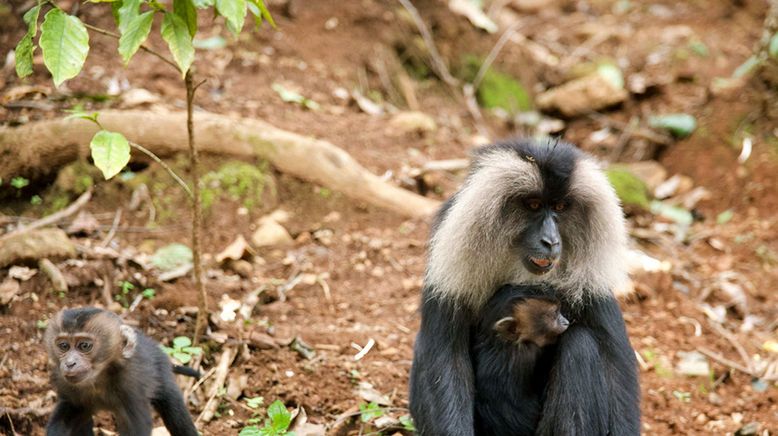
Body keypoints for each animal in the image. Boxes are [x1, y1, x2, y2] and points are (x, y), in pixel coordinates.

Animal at [44, 306, 200, 436]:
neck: (99, 377)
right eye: (64, 346)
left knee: (174, 409)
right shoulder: (65, 384)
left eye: (84, 345)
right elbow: (67, 415)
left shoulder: (132, 384)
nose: (70, 363)